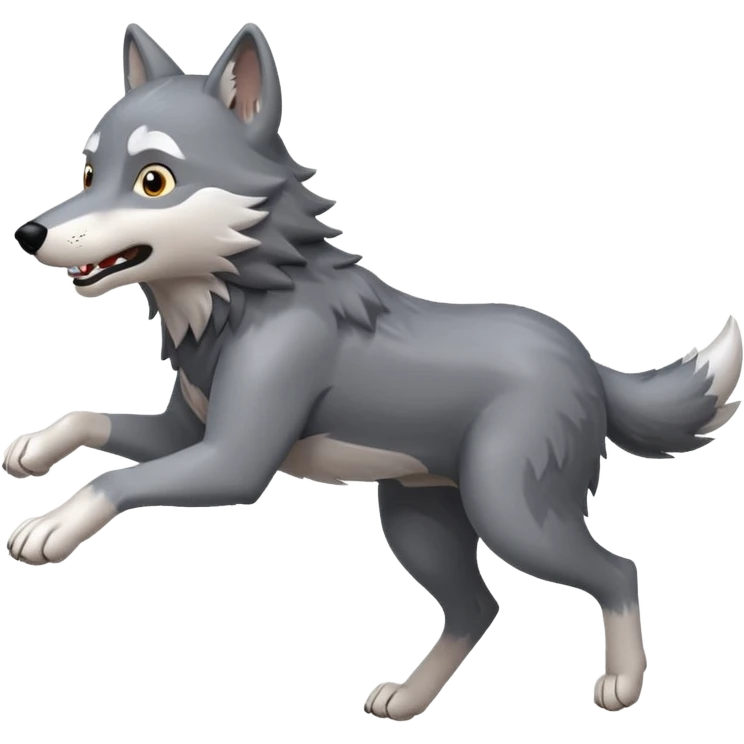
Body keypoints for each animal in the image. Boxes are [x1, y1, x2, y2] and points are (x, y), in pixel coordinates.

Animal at [4, 21, 742, 719]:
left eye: (153, 179)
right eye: (88, 173)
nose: (27, 234)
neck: (240, 297)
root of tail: (584, 358)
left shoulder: (232, 462)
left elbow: (113, 480)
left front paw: (49, 526)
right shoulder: (185, 434)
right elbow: (89, 419)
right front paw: (32, 450)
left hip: (510, 511)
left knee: (616, 571)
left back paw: (622, 684)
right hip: (419, 518)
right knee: (480, 608)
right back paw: (409, 699)